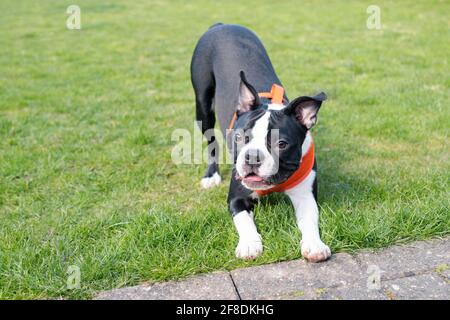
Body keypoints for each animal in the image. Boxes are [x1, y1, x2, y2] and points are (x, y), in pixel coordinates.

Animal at [190, 23, 330, 262]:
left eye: (281, 144)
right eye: (238, 137)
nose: (252, 157)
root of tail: (222, 25)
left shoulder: (306, 196)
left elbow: (310, 222)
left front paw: (314, 245)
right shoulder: (236, 198)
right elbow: (245, 221)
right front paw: (249, 244)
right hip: (203, 105)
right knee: (211, 143)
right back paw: (211, 176)